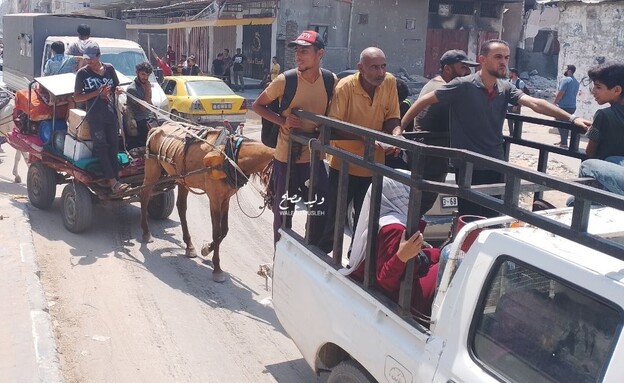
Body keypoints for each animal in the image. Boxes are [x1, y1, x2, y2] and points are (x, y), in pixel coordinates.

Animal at [140, 123, 274, 282]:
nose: (273, 202)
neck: (230, 157)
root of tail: (157, 127)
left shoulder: (226, 198)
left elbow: (225, 230)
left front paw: (206, 249)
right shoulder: (214, 199)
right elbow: (216, 232)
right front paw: (217, 268)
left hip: (181, 179)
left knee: (181, 207)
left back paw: (189, 246)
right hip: (152, 169)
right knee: (144, 196)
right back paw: (146, 233)